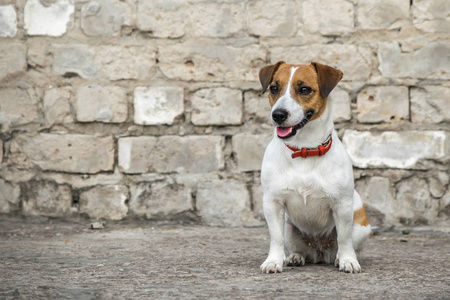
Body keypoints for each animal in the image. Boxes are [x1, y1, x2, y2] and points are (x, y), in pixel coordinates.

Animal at [258, 62, 370, 274]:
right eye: (274, 88)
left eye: (304, 89)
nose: (278, 115)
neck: (303, 150)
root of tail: (319, 251)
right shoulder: (273, 203)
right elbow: (275, 237)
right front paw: (273, 261)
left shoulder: (342, 206)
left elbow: (344, 239)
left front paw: (348, 261)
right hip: (289, 228)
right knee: (298, 248)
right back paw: (295, 257)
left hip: (361, 225)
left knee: (345, 242)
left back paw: (338, 258)